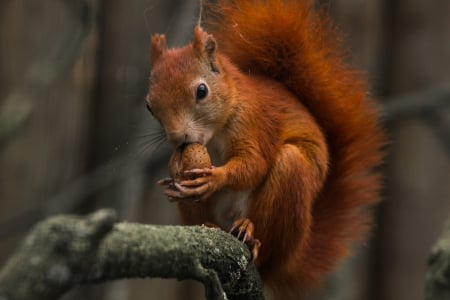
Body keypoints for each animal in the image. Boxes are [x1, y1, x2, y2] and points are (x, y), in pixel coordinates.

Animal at [146, 0, 384, 298]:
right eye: (149, 106)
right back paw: (209, 225)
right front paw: (170, 184)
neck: (215, 133)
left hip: (290, 187)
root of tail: (289, 259)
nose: (179, 138)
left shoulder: (255, 123)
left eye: (201, 91)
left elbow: (255, 164)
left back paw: (251, 235)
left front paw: (215, 178)